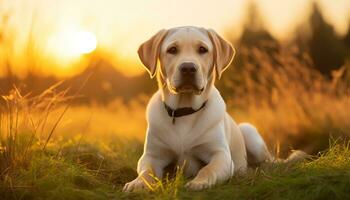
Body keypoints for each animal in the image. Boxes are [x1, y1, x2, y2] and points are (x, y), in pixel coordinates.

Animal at [123, 26, 274, 192]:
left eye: (202, 49)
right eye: (172, 50)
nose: (188, 68)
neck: (184, 110)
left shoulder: (221, 155)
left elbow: (208, 169)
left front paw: (198, 182)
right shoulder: (152, 155)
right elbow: (147, 170)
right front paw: (138, 183)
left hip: (249, 131)